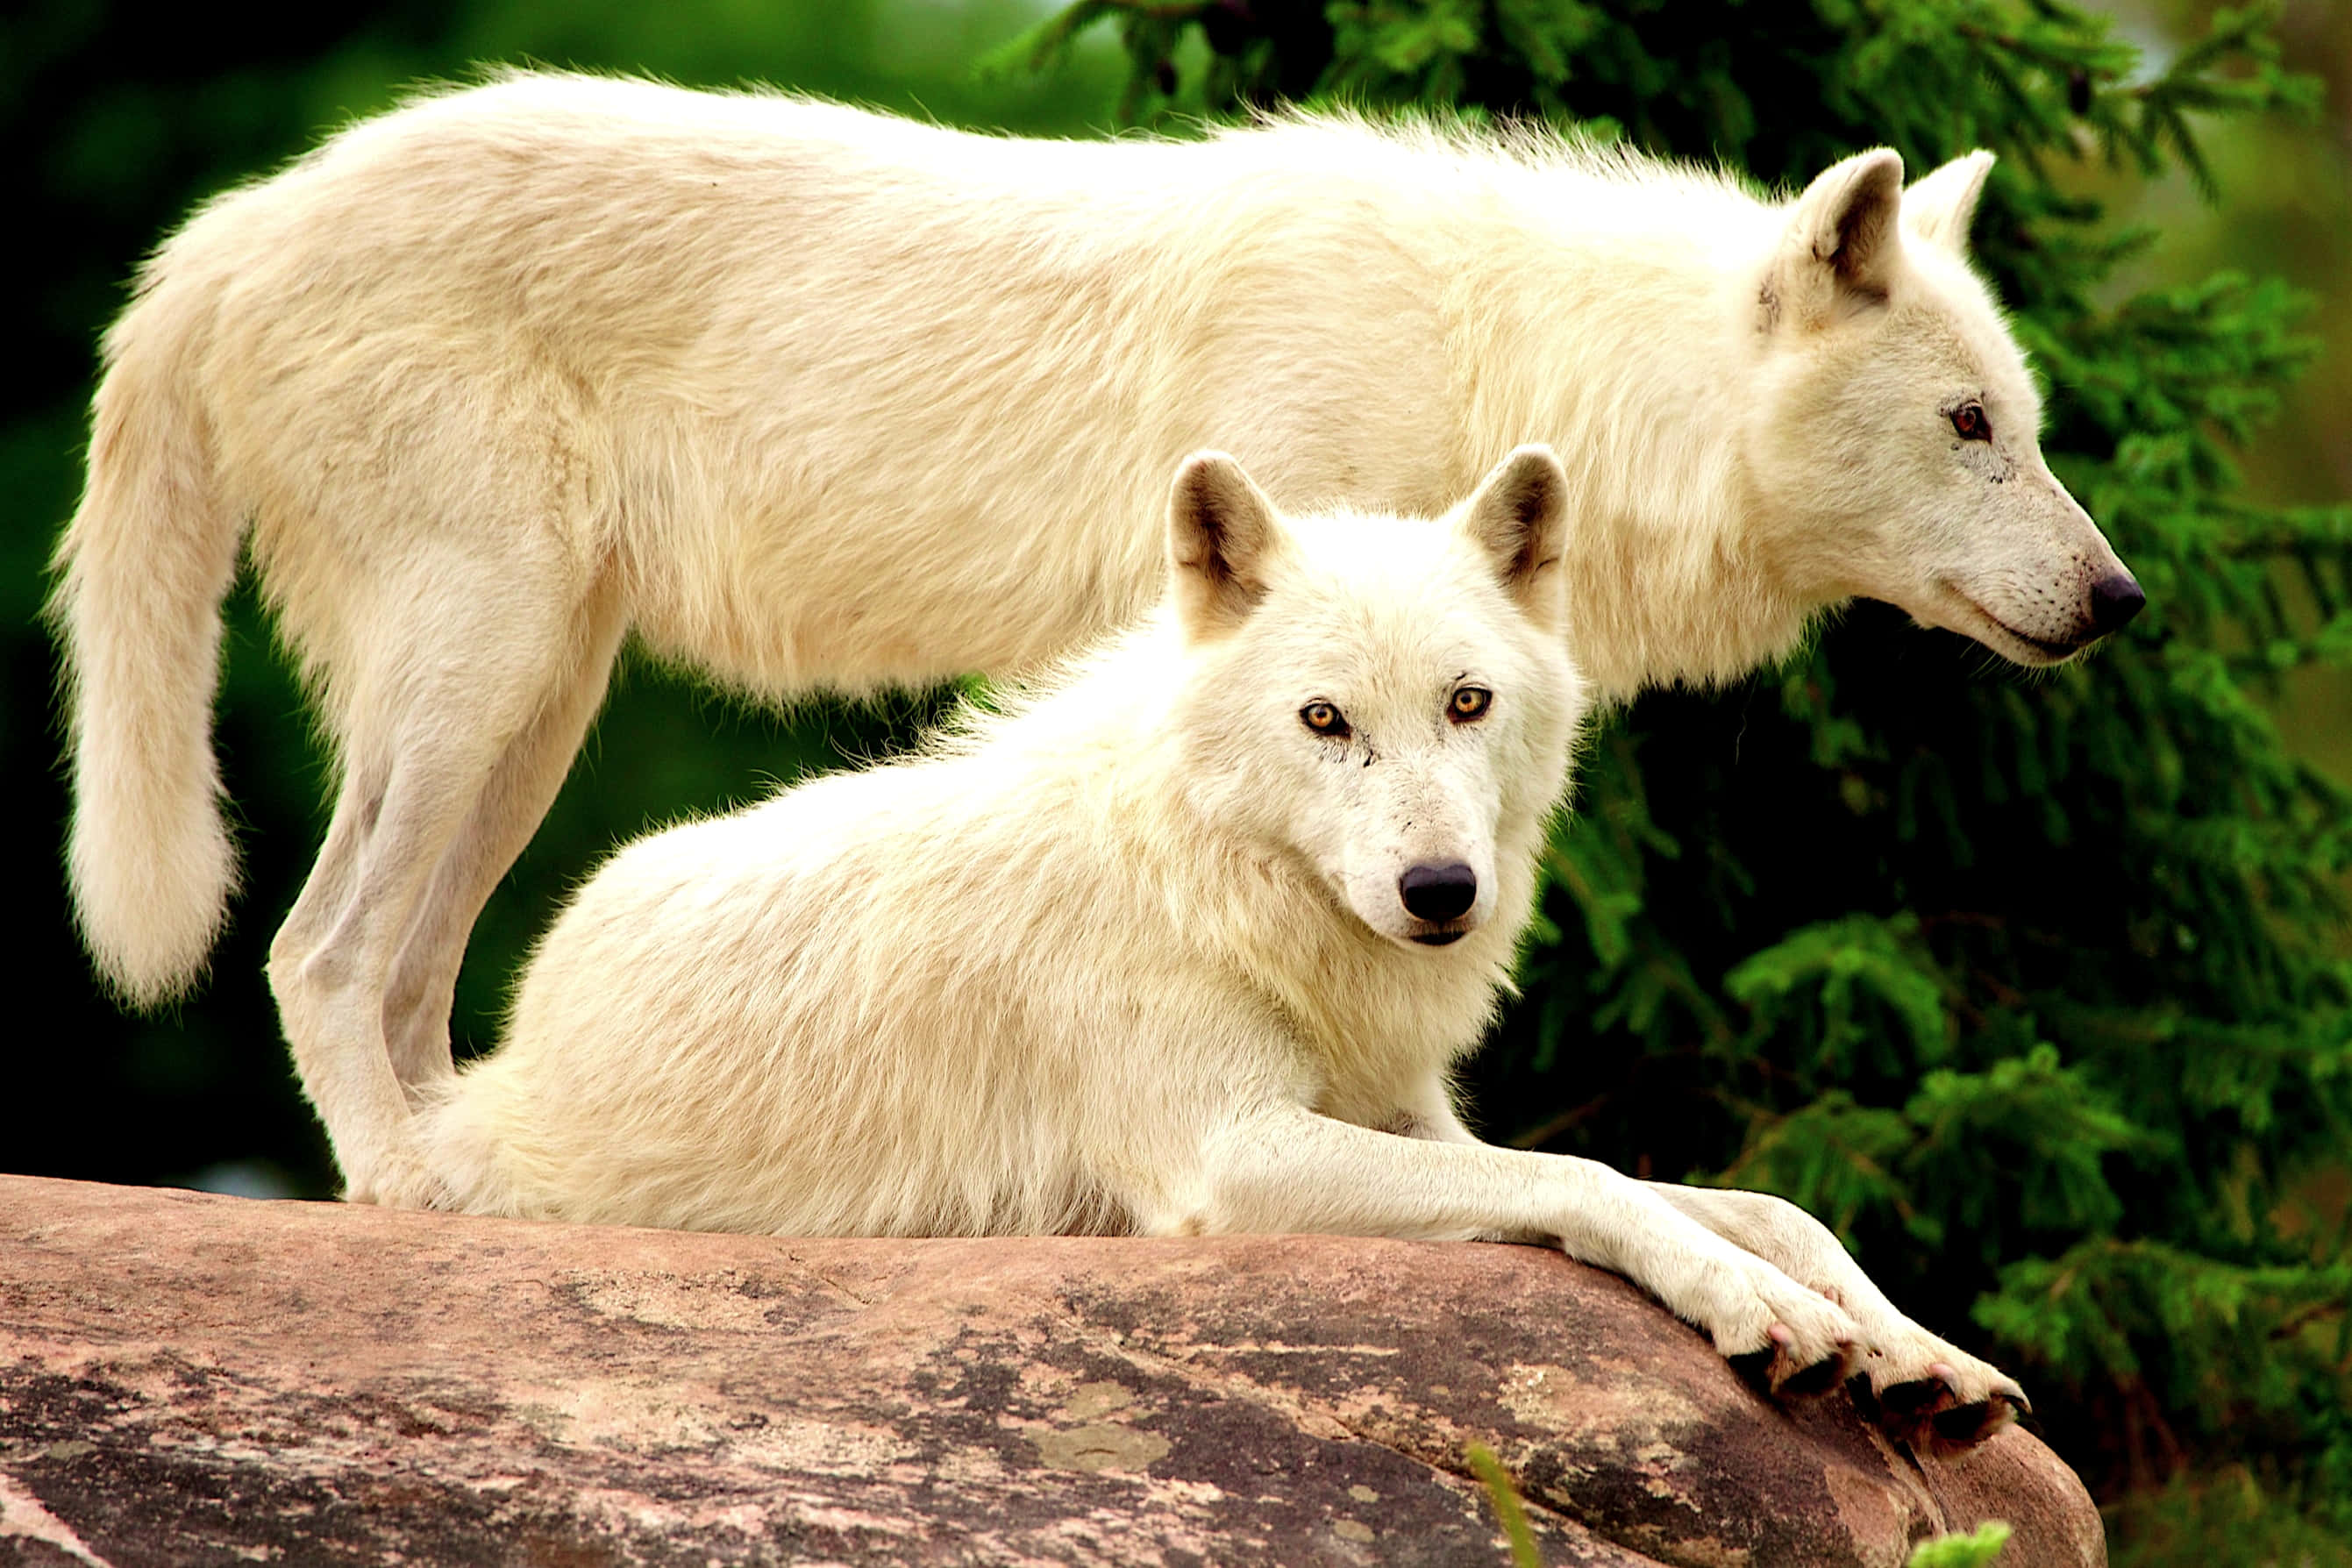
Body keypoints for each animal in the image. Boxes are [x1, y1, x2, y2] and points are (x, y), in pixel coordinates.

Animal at [51, 73, 2139, 1222]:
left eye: (2026, 426)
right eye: (1969, 426)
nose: (2122, 601)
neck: (1504, 351)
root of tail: (221, 231)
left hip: (535, 707)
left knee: (404, 975)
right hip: (482, 674)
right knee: (318, 951)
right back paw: (417, 1184)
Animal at [411, 447, 2027, 1448]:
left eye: (1466, 702)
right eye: (1324, 721)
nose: (1439, 888)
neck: (1221, 882)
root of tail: (512, 1035)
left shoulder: (1416, 1119)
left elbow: (1762, 1204)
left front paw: (1912, 1348)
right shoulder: (1228, 1155)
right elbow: (1584, 1179)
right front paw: (1759, 1311)